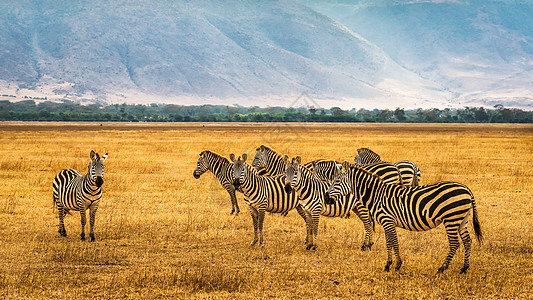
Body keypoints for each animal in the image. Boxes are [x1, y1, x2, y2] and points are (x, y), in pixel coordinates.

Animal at [324, 163, 482, 274]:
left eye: (337, 181)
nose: (325, 198)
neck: (376, 195)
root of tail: (466, 189)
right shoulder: (386, 222)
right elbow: (389, 243)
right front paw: (388, 265)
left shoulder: (388, 220)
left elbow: (394, 242)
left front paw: (397, 265)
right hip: (462, 220)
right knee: (468, 241)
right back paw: (464, 268)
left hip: (451, 219)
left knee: (455, 243)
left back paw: (442, 268)